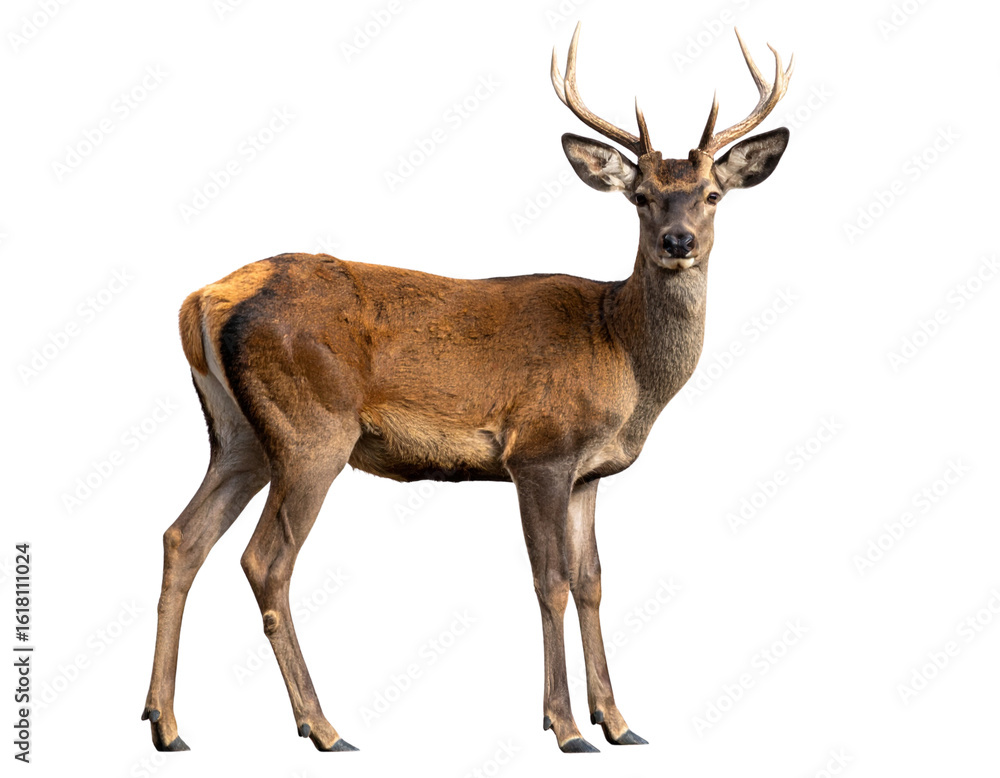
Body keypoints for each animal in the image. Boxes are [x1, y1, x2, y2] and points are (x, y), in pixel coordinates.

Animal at [142, 22, 793, 754]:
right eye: (641, 197)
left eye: (712, 194)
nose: (679, 242)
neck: (622, 353)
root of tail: (201, 300)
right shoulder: (539, 451)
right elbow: (551, 581)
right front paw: (566, 726)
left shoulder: (588, 473)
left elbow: (593, 581)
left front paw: (621, 722)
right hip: (312, 429)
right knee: (264, 560)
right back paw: (323, 726)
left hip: (239, 435)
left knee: (182, 538)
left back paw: (166, 724)